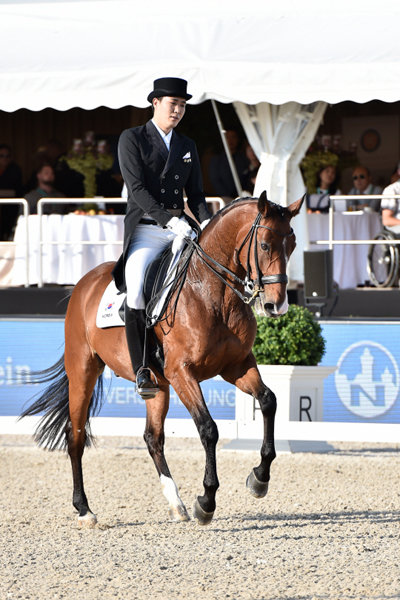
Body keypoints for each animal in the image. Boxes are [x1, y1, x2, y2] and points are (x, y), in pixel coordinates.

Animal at [21, 191, 304, 524]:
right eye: (264, 245)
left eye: (292, 243)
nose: (277, 305)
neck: (211, 292)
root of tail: (83, 284)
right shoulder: (183, 372)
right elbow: (208, 428)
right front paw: (206, 501)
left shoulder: (236, 366)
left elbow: (269, 401)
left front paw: (259, 478)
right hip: (83, 370)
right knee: (75, 434)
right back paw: (84, 509)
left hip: (158, 385)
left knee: (152, 437)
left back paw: (176, 504)